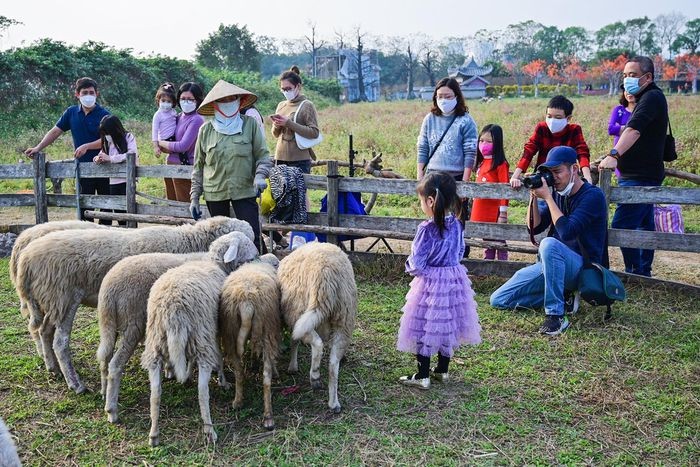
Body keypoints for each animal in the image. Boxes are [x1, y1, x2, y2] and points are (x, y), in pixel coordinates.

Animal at [140, 232, 260, 448]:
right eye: (246, 242)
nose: (257, 254)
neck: (216, 264)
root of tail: (173, 311)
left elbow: (188, 361)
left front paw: (187, 374)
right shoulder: (215, 330)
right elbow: (219, 357)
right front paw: (222, 380)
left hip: (156, 343)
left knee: (155, 392)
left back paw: (154, 434)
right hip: (201, 338)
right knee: (202, 391)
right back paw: (210, 430)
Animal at [221, 256, 282, 432]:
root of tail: (246, 304)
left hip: (230, 332)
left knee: (239, 373)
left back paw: (238, 401)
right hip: (267, 328)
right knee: (266, 379)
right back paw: (268, 417)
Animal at [278, 243, 358, 414]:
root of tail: (326, 276)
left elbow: (294, 341)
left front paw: (292, 366)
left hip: (299, 312)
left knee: (317, 343)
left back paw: (314, 375)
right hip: (344, 319)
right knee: (333, 364)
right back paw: (333, 403)